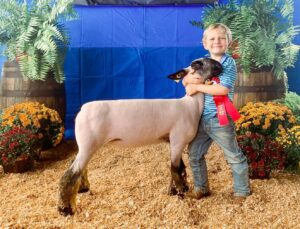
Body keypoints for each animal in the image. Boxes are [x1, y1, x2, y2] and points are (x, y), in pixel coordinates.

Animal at [58, 57, 223, 215]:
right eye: (197, 64)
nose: (220, 66)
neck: (191, 105)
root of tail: (82, 110)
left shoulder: (173, 142)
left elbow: (179, 168)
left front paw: (174, 190)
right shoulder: (178, 139)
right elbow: (175, 169)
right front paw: (181, 192)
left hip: (87, 146)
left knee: (79, 168)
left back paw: (83, 189)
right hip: (89, 144)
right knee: (69, 175)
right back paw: (65, 209)